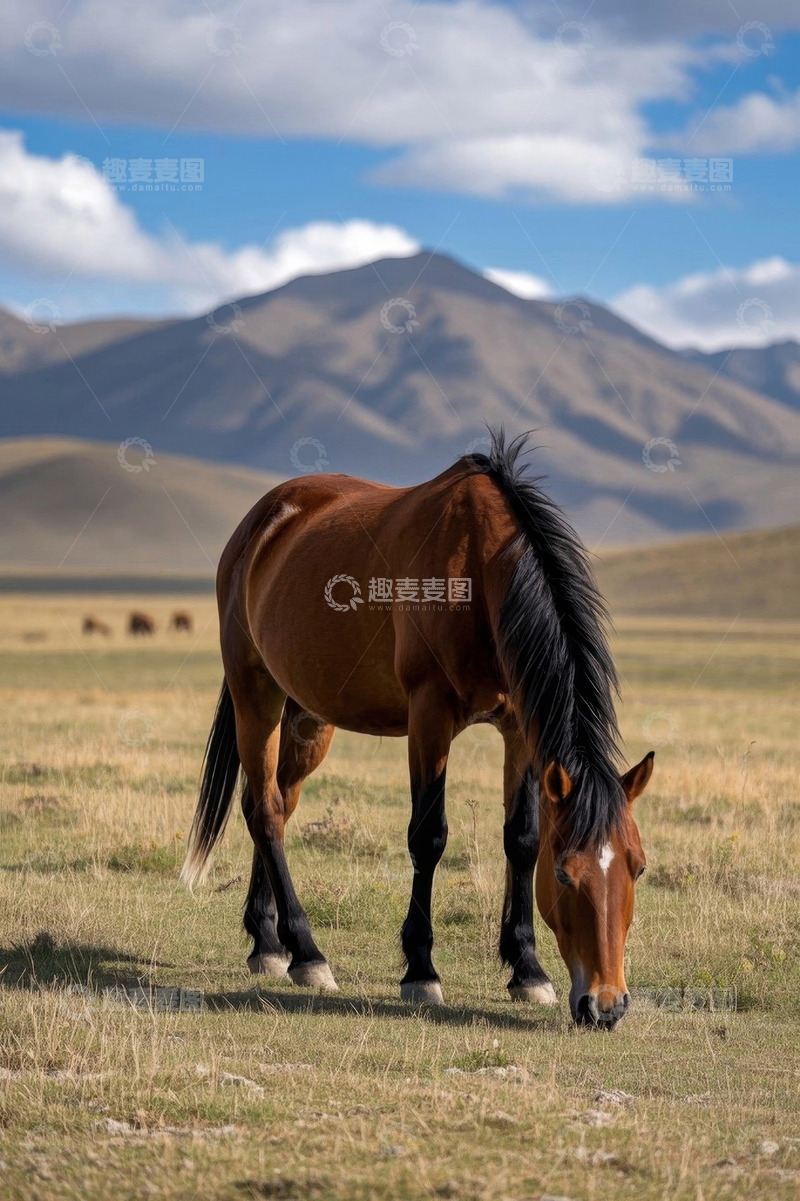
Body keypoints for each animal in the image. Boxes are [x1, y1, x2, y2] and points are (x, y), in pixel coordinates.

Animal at [181, 431, 653, 1028]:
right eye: (567, 875)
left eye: (638, 869)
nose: (606, 1006)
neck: (479, 569)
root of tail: (262, 520)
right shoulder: (429, 716)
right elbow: (428, 837)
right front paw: (421, 971)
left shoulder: (519, 727)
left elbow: (521, 838)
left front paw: (527, 969)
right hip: (256, 694)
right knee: (263, 810)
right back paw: (307, 953)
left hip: (308, 715)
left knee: (275, 805)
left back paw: (267, 941)